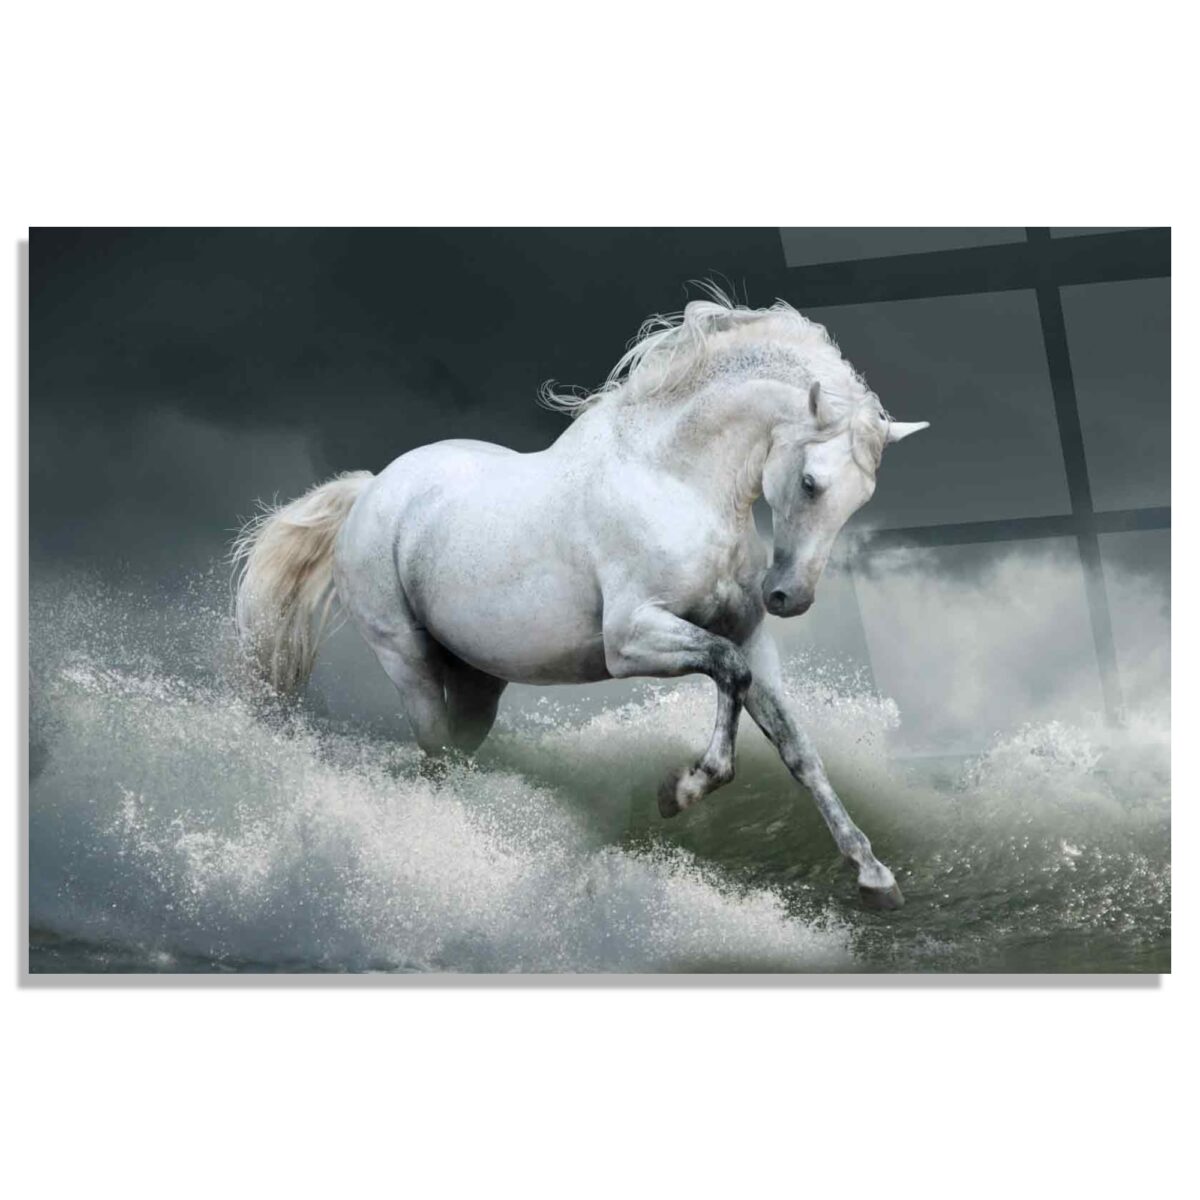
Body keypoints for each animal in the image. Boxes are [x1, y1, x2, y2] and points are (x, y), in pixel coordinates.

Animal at [233, 289, 928, 909]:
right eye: (810, 482)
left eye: (862, 498)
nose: (789, 597)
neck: (673, 480)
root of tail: (373, 488)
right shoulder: (631, 641)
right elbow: (728, 673)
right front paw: (680, 791)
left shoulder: (752, 639)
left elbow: (796, 746)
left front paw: (873, 877)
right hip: (407, 659)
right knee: (435, 752)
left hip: (478, 682)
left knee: (456, 750)